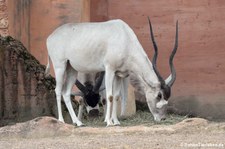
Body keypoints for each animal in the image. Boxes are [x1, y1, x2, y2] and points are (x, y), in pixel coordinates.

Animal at [44, 17, 178, 127]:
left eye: (167, 97)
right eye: (158, 96)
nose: (162, 118)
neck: (125, 38)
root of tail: (50, 37)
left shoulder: (119, 73)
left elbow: (117, 96)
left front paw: (116, 121)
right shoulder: (109, 69)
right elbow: (109, 96)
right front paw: (109, 122)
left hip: (71, 69)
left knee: (66, 92)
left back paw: (78, 122)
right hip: (60, 66)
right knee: (58, 91)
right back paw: (61, 121)